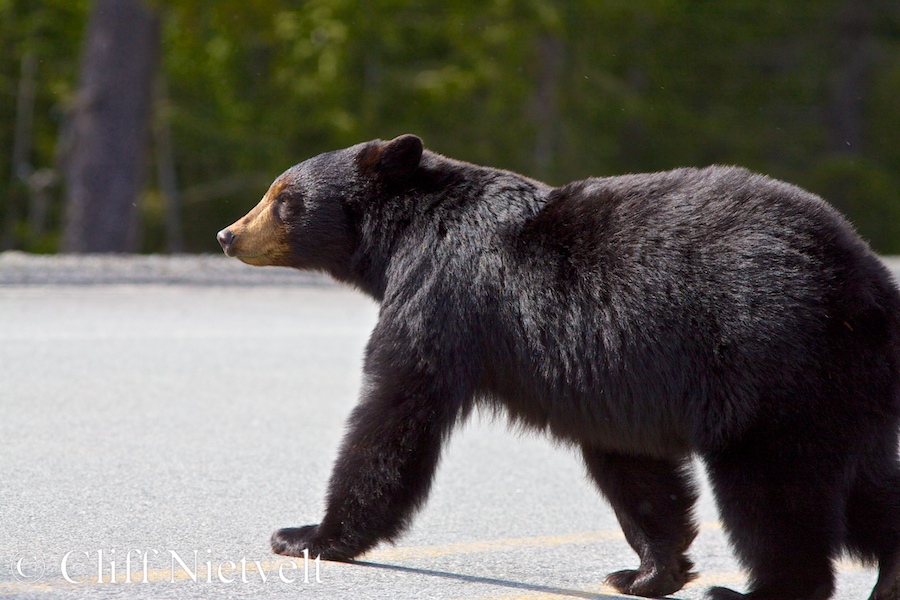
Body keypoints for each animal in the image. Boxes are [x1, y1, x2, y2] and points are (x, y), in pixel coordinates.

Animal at [218, 136, 900, 600]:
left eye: (283, 198)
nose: (227, 234)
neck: (405, 234)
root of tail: (868, 284)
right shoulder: (608, 376)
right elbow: (633, 467)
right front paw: (647, 570)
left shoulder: (442, 295)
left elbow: (395, 408)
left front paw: (308, 535)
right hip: (844, 391)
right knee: (863, 490)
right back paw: (887, 574)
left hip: (777, 373)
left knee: (776, 493)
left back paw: (755, 590)